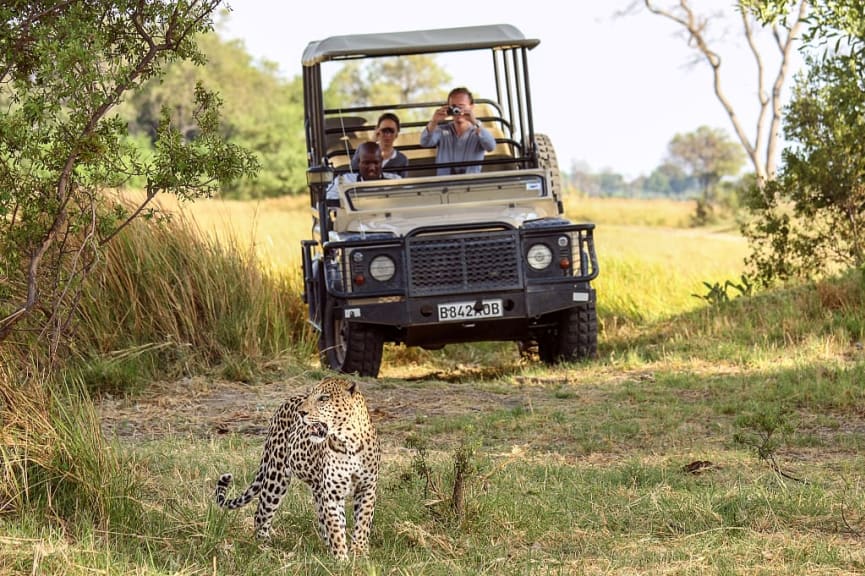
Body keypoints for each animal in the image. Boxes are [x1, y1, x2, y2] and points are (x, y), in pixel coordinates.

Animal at [213, 376, 378, 560]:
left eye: (323, 398)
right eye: (312, 395)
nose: (301, 412)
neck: (349, 442)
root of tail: (285, 402)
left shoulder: (367, 489)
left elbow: (362, 522)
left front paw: (359, 552)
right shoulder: (332, 494)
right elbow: (336, 527)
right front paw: (341, 558)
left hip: (316, 487)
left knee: (321, 519)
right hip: (276, 476)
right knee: (261, 514)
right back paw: (263, 547)